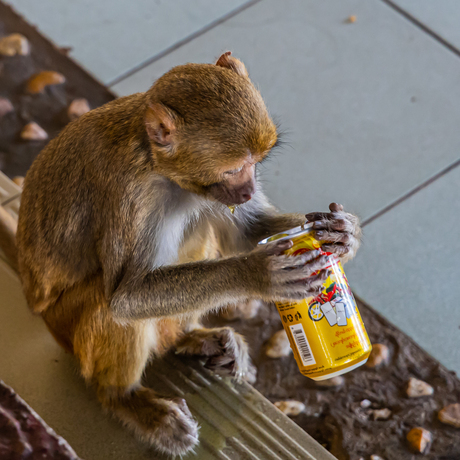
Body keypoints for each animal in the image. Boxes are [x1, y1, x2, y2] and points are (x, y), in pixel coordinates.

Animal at [0, 51, 362, 456]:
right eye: (234, 168)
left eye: (255, 164)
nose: (249, 189)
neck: (159, 166)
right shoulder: (130, 193)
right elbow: (125, 298)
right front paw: (258, 273)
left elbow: (249, 232)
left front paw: (341, 234)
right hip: (66, 329)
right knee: (106, 308)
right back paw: (123, 399)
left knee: (201, 224)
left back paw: (188, 337)